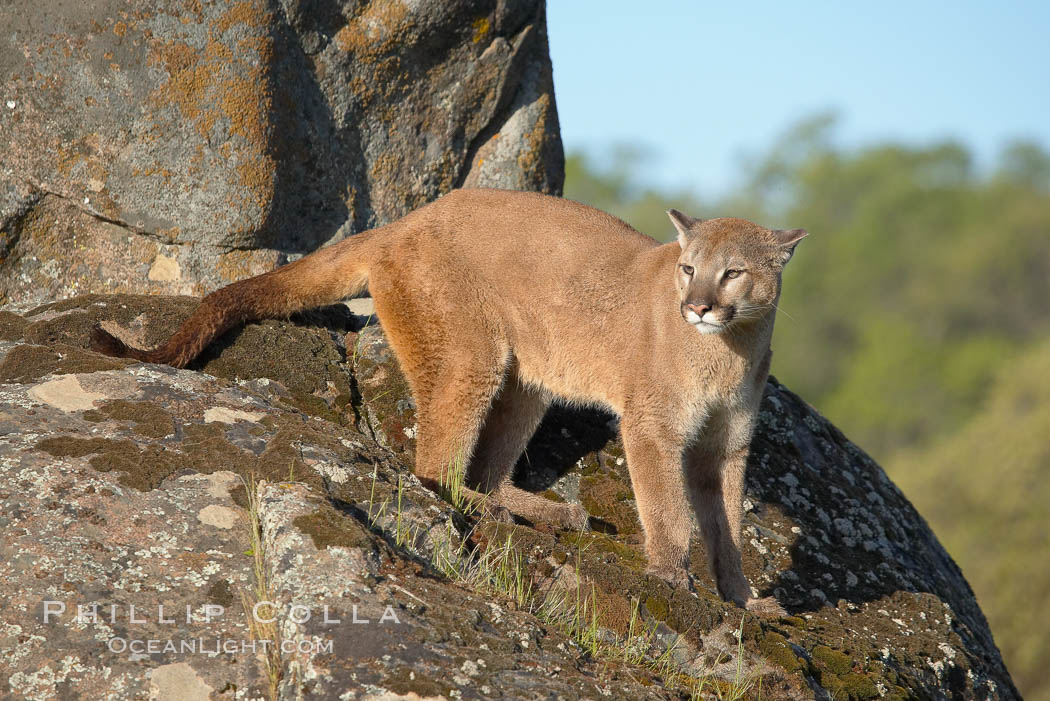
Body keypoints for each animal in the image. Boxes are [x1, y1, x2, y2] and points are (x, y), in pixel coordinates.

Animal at [94, 185, 806, 612]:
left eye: (733, 272)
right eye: (688, 268)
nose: (697, 305)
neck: (728, 350)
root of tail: (409, 218)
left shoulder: (726, 445)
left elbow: (727, 524)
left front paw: (744, 598)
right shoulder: (654, 425)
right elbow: (669, 507)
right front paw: (671, 576)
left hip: (526, 377)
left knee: (481, 467)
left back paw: (544, 512)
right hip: (472, 354)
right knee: (433, 467)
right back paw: (511, 511)